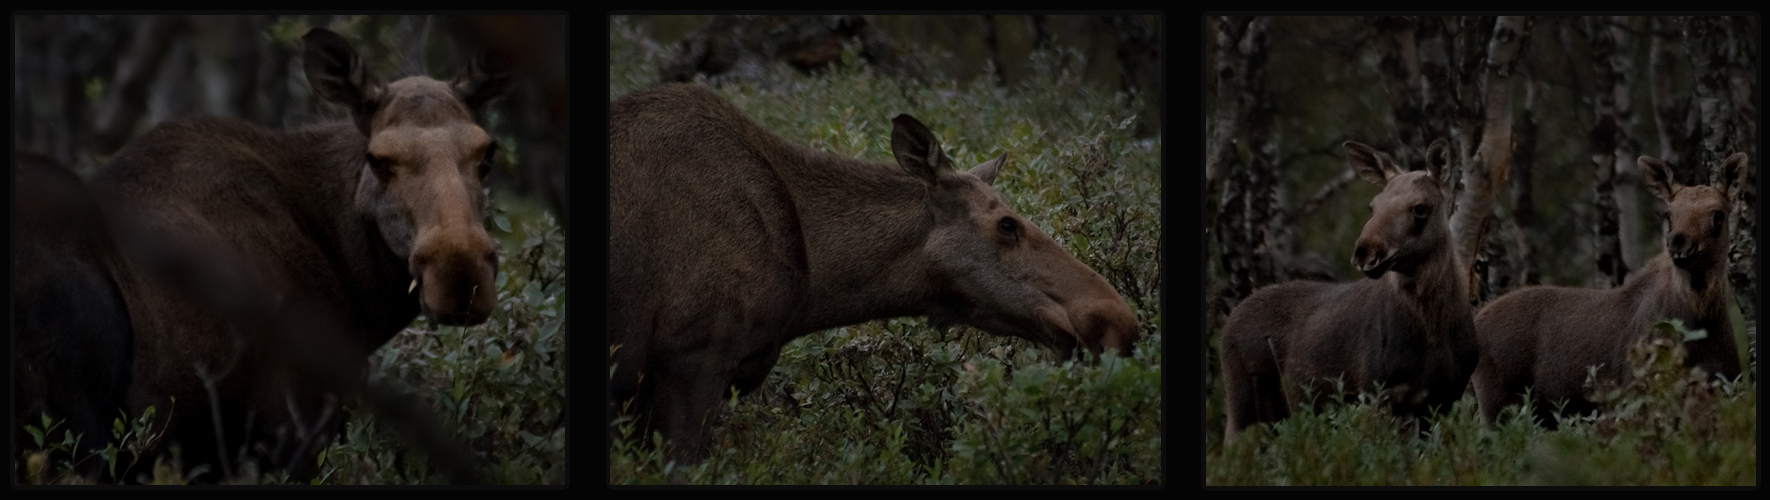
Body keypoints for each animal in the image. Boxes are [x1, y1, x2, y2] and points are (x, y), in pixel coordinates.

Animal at [1217, 140, 1479, 441]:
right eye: (1373, 205)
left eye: (1420, 208)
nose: (1366, 251)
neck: (1433, 327)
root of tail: (1227, 324)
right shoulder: (1377, 393)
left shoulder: (1445, 397)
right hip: (1244, 406)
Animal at [1472, 153, 1748, 425]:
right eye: (1669, 214)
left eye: (1718, 215)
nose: (1681, 245)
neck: (1701, 319)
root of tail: (1475, 321)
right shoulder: (1638, 393)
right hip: (1500, 404)